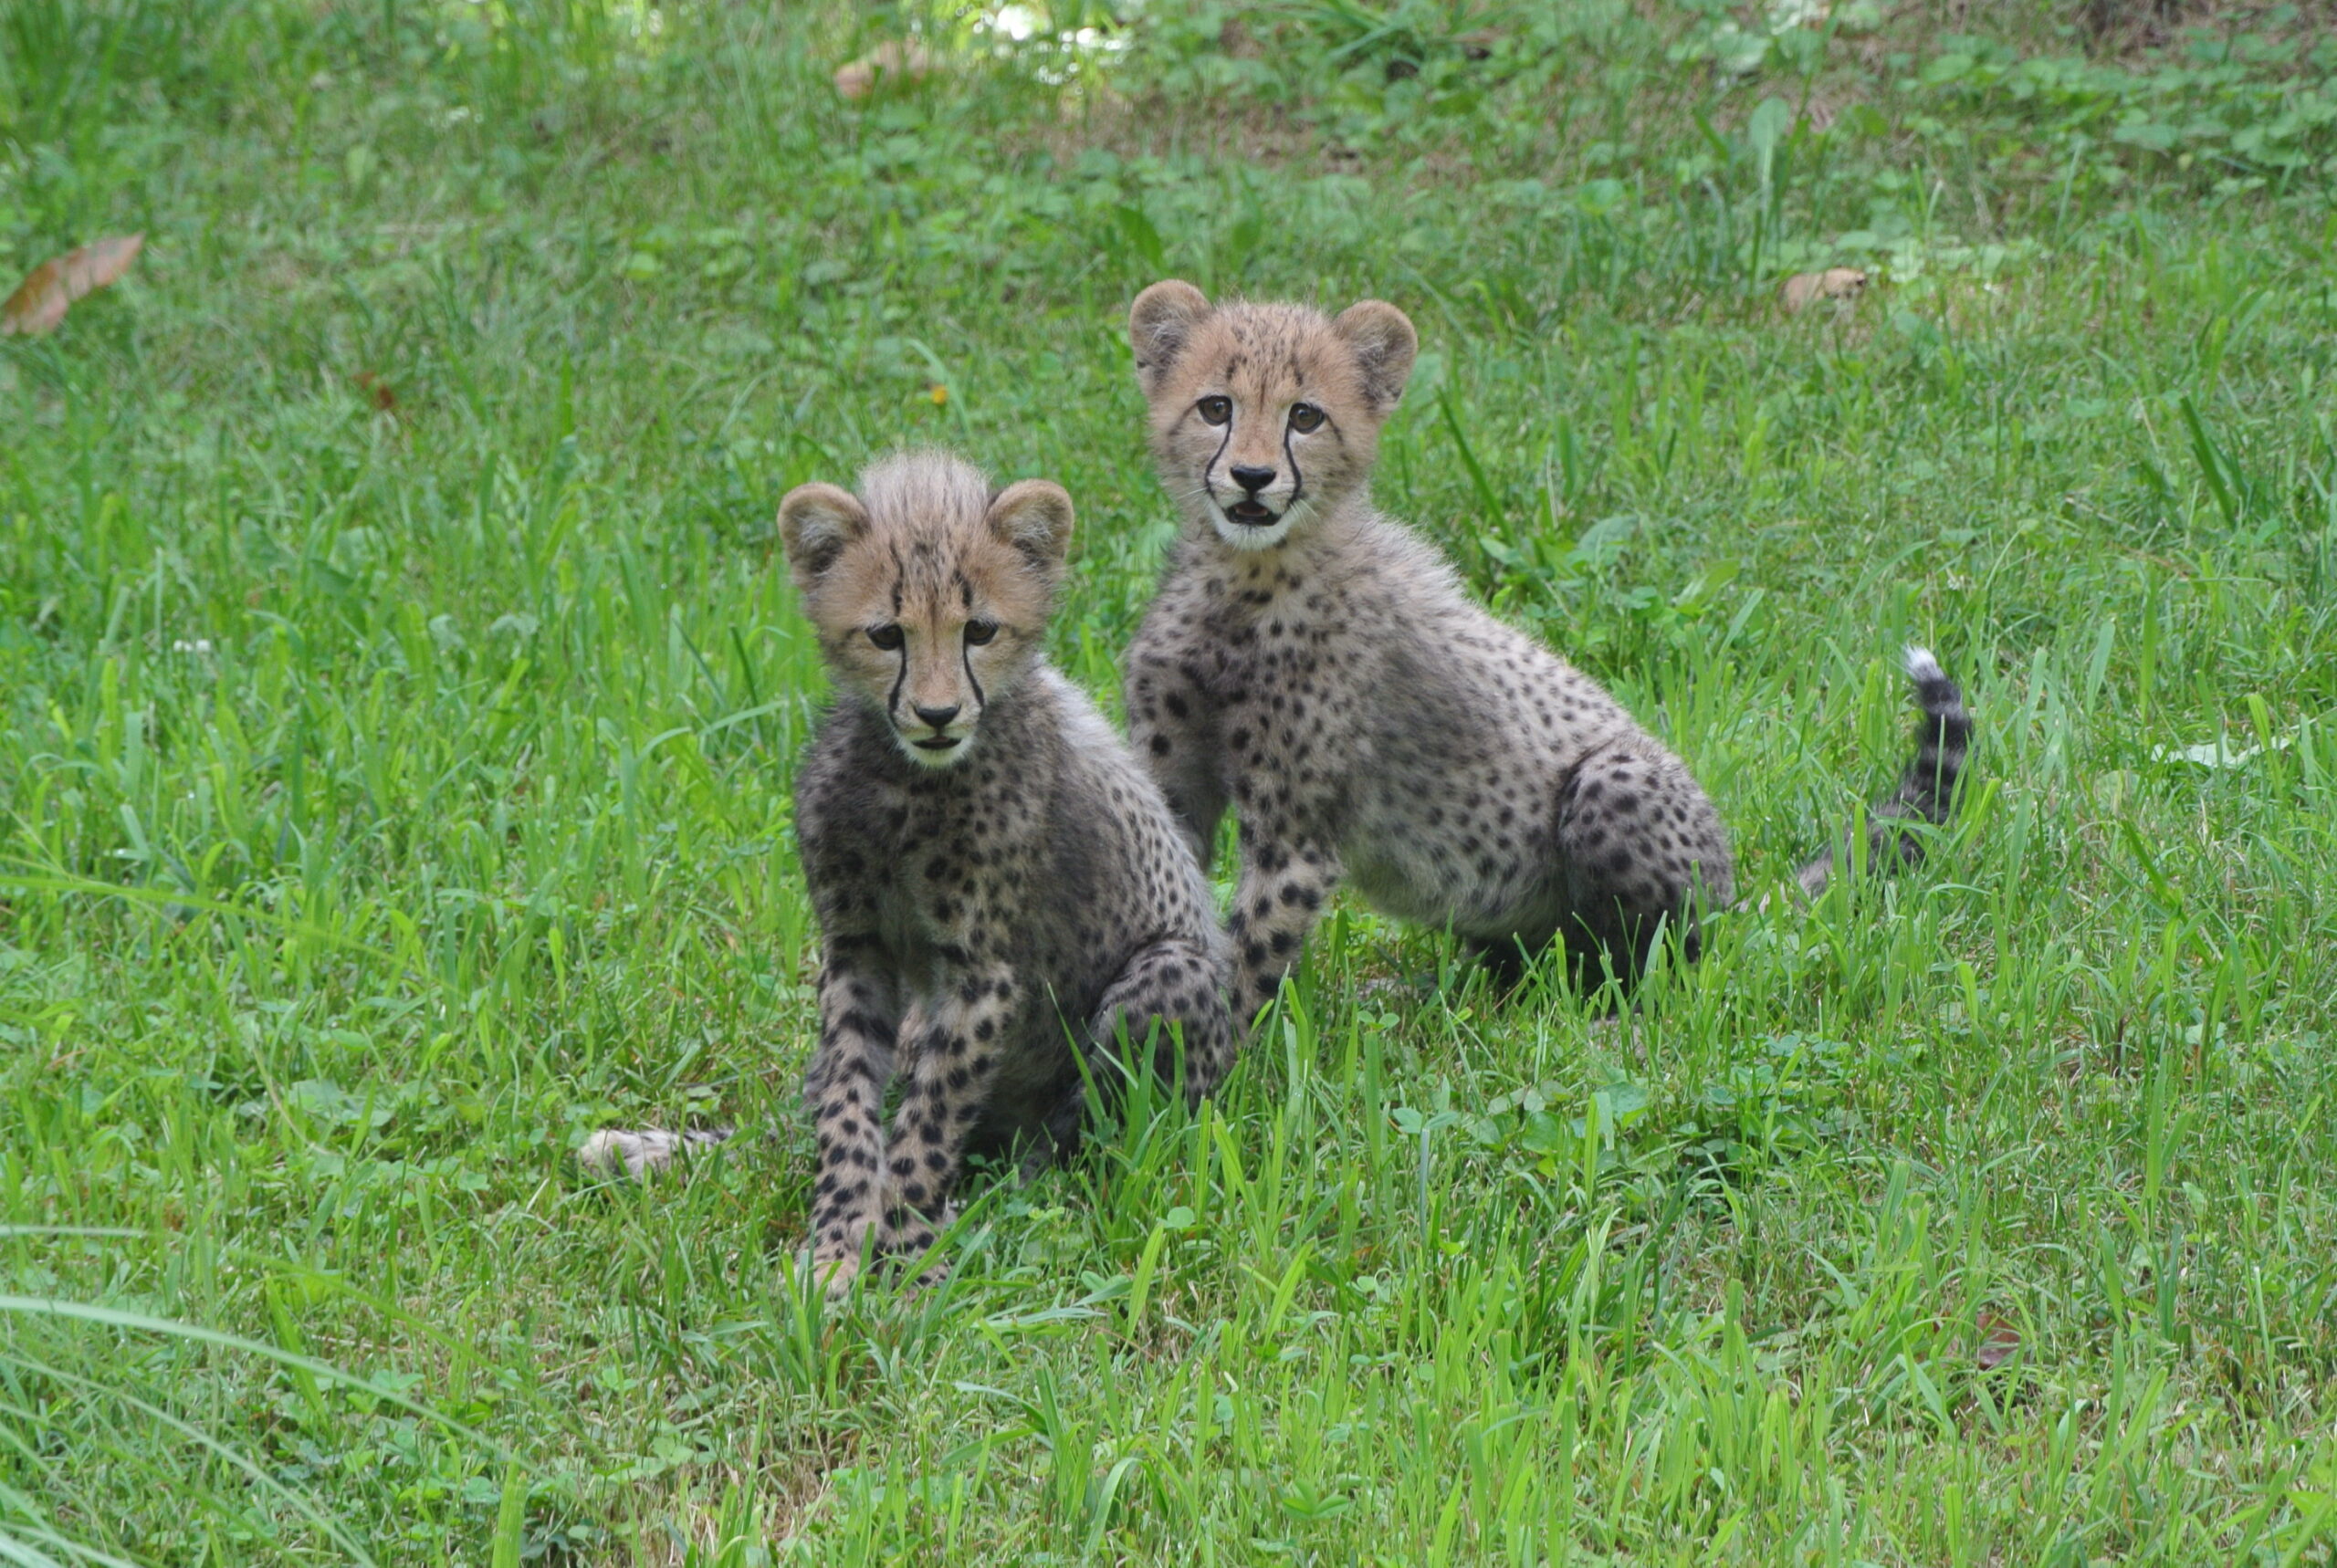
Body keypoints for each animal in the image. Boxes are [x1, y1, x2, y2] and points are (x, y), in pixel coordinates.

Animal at [1119, 280, 1971, 1022]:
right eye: (1216, 407)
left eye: (1305, 416)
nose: (1252, 477)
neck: (1242, 580)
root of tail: (1731, 897)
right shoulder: (1172, 786)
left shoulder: (1294, 833)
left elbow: (1251, 949)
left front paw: (1211, 1069)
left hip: (1617, 786)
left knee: (1666, 962)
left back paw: (1611, 1018)